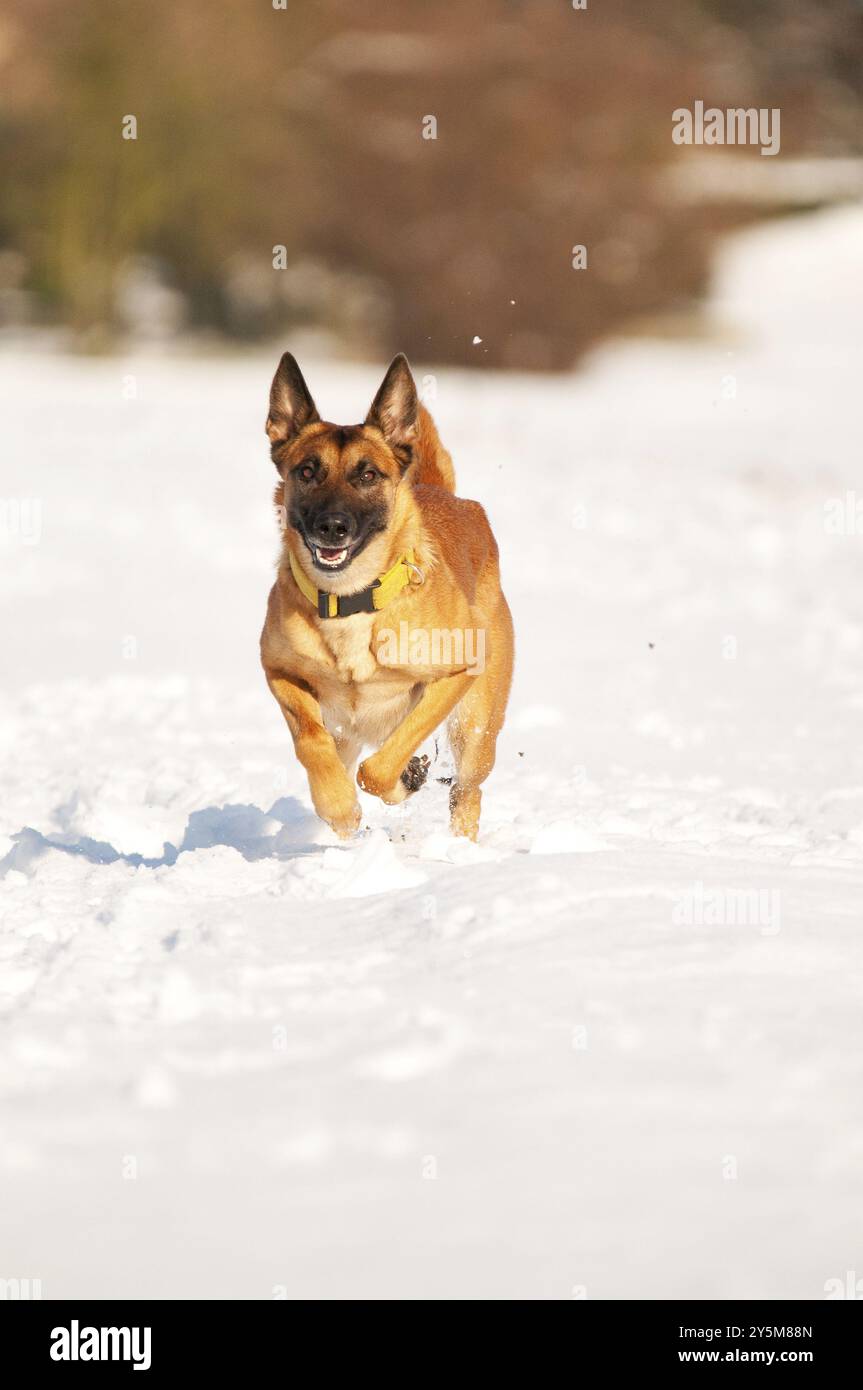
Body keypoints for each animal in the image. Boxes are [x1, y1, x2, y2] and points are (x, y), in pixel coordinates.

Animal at [255, 353, 511, 839]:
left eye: (368, 474)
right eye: (307, 471)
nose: (332, 527)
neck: (350, 601)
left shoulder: (454, 675)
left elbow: (380, 767)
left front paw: (406, 777)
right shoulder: (280, 672)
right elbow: (312, 743)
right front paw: (338, 806)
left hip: (475, 726)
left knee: (467, 790)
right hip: (349, 730)